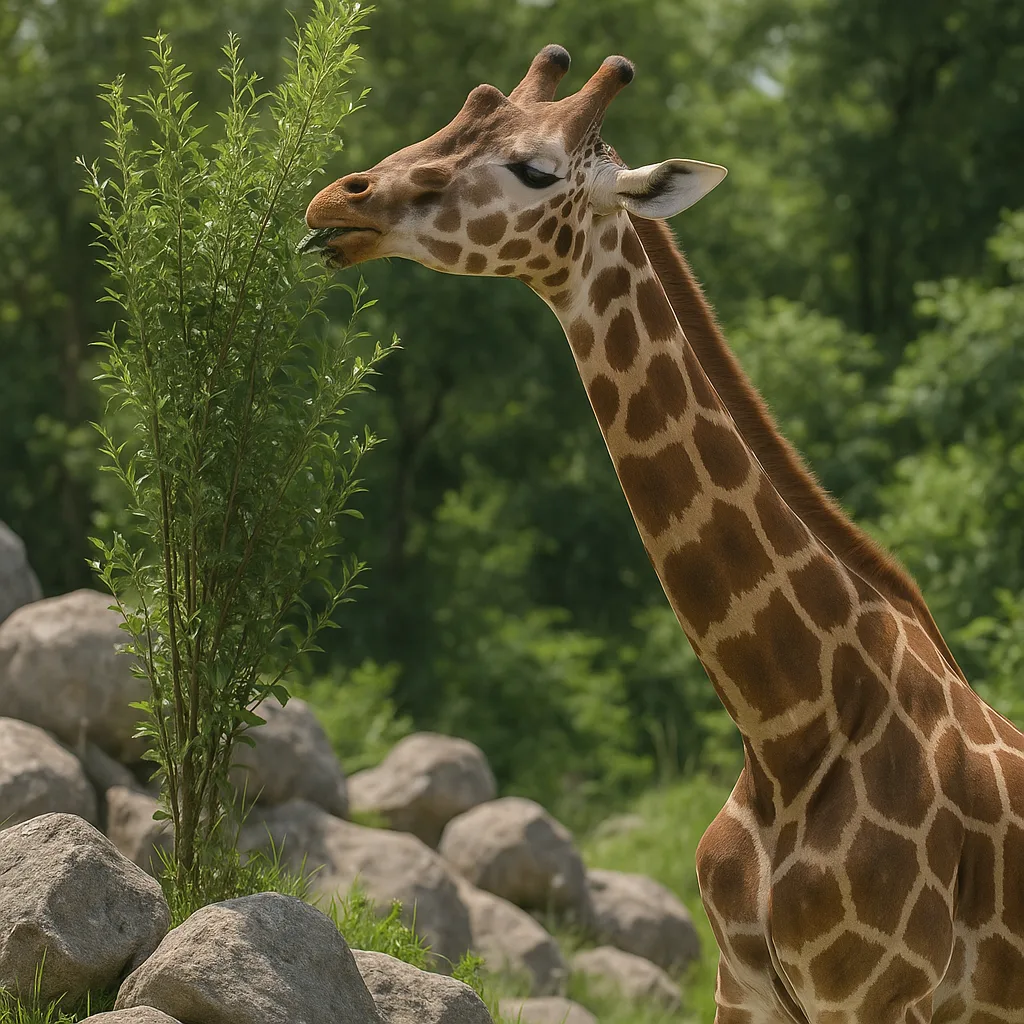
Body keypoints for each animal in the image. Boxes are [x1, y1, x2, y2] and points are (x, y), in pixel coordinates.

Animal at [302, 45, 1024, 1023]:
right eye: (463, 110)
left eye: (534, 169)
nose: (337, 202)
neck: (790, 729)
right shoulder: (741, 986)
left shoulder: (877, 997)